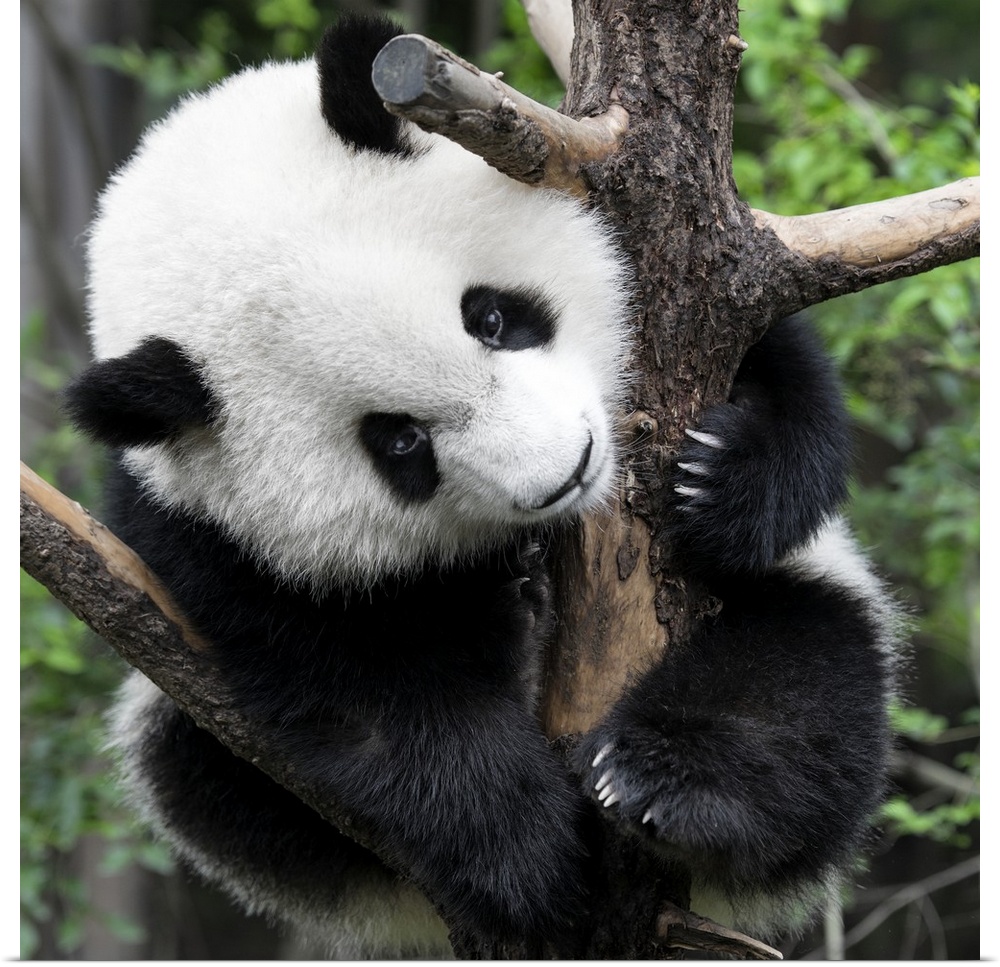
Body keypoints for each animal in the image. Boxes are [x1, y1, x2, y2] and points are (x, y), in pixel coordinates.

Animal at [64, 13, 902, 959]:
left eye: (491, 316)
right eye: (399, 441)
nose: (567, 469)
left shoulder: (685, 273)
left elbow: (782, 375)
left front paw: (721, 479)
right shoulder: (199, 531)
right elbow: (367, 686)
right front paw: (526, 850)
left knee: (800, 679)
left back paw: (674, 781)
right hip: (199, 750)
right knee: (205, 778)